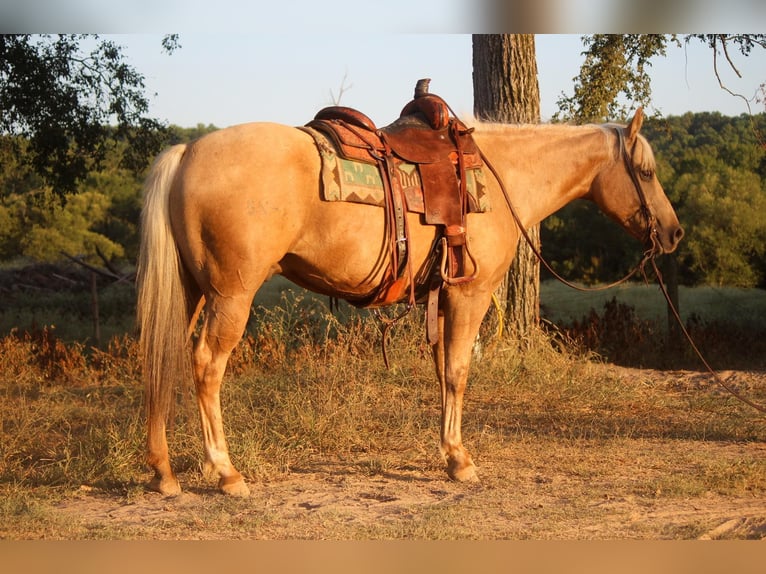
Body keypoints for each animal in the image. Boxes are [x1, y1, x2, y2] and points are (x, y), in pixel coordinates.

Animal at [136, 106, 684, 498]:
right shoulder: (469, 294)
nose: (674, 233)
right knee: (206, 365)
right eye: (646, 171)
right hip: (231, 297)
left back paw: (164, 473)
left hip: (191, 293)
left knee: (163, 361)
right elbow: (459, 372)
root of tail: (187, 151)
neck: (500, 176)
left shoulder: (442, 299)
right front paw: (460, 461)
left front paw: (448, 453)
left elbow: (443, 372)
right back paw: (226, 472)